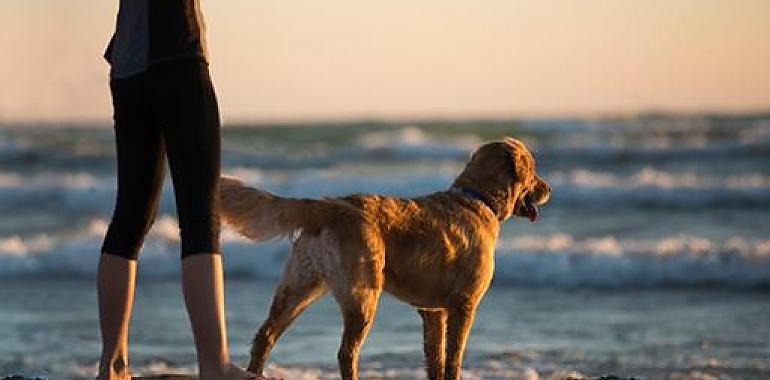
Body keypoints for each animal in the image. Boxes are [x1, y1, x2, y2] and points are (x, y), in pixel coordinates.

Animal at [219, 138, 548, 380]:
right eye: (533, 169)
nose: (549, 189)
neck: (478, 199)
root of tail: (329, 206)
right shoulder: (463, 305)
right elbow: (453, 359)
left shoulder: (433, 311)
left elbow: (436, 359)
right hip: (362, 296)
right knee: (346, 352)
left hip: (299, 287)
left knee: (265, 336)